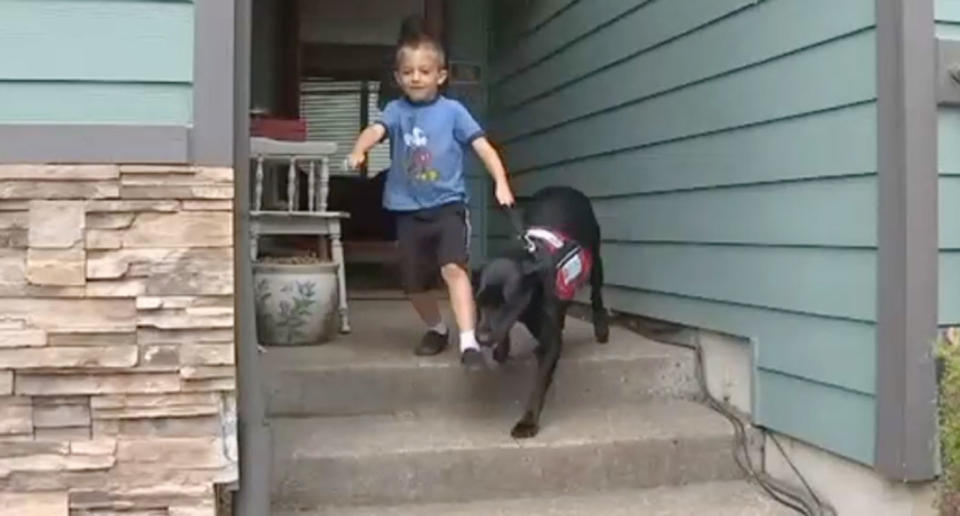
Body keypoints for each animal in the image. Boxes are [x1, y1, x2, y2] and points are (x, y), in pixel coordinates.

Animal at [472, 185, 608, 436]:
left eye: (506, 304)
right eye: (480, 302)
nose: (482, 338)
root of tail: (566, 188)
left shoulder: (550, 342)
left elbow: (539, 383)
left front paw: (528, 422)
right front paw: (502, 349)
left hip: (595, 258)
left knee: (596, 293)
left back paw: (601, 327)